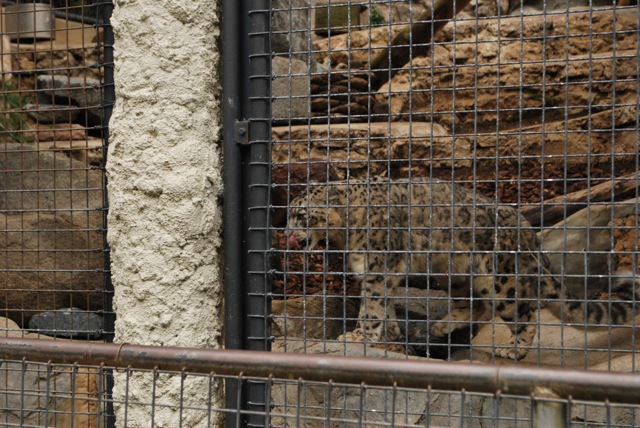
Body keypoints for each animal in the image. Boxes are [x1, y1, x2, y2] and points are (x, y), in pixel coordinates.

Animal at [284, 178, 640, 360]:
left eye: (300, 216)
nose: (286, 235)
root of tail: (527, 231)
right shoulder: (380, 274)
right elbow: (385, 306)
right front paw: (393, 333)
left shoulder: (377, 268)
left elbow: (370, 307)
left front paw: (358, 334)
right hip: (456, 275)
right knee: (477, 306)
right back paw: (439, 327)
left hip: (500, 278)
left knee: (522, 312)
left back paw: (513, 350)